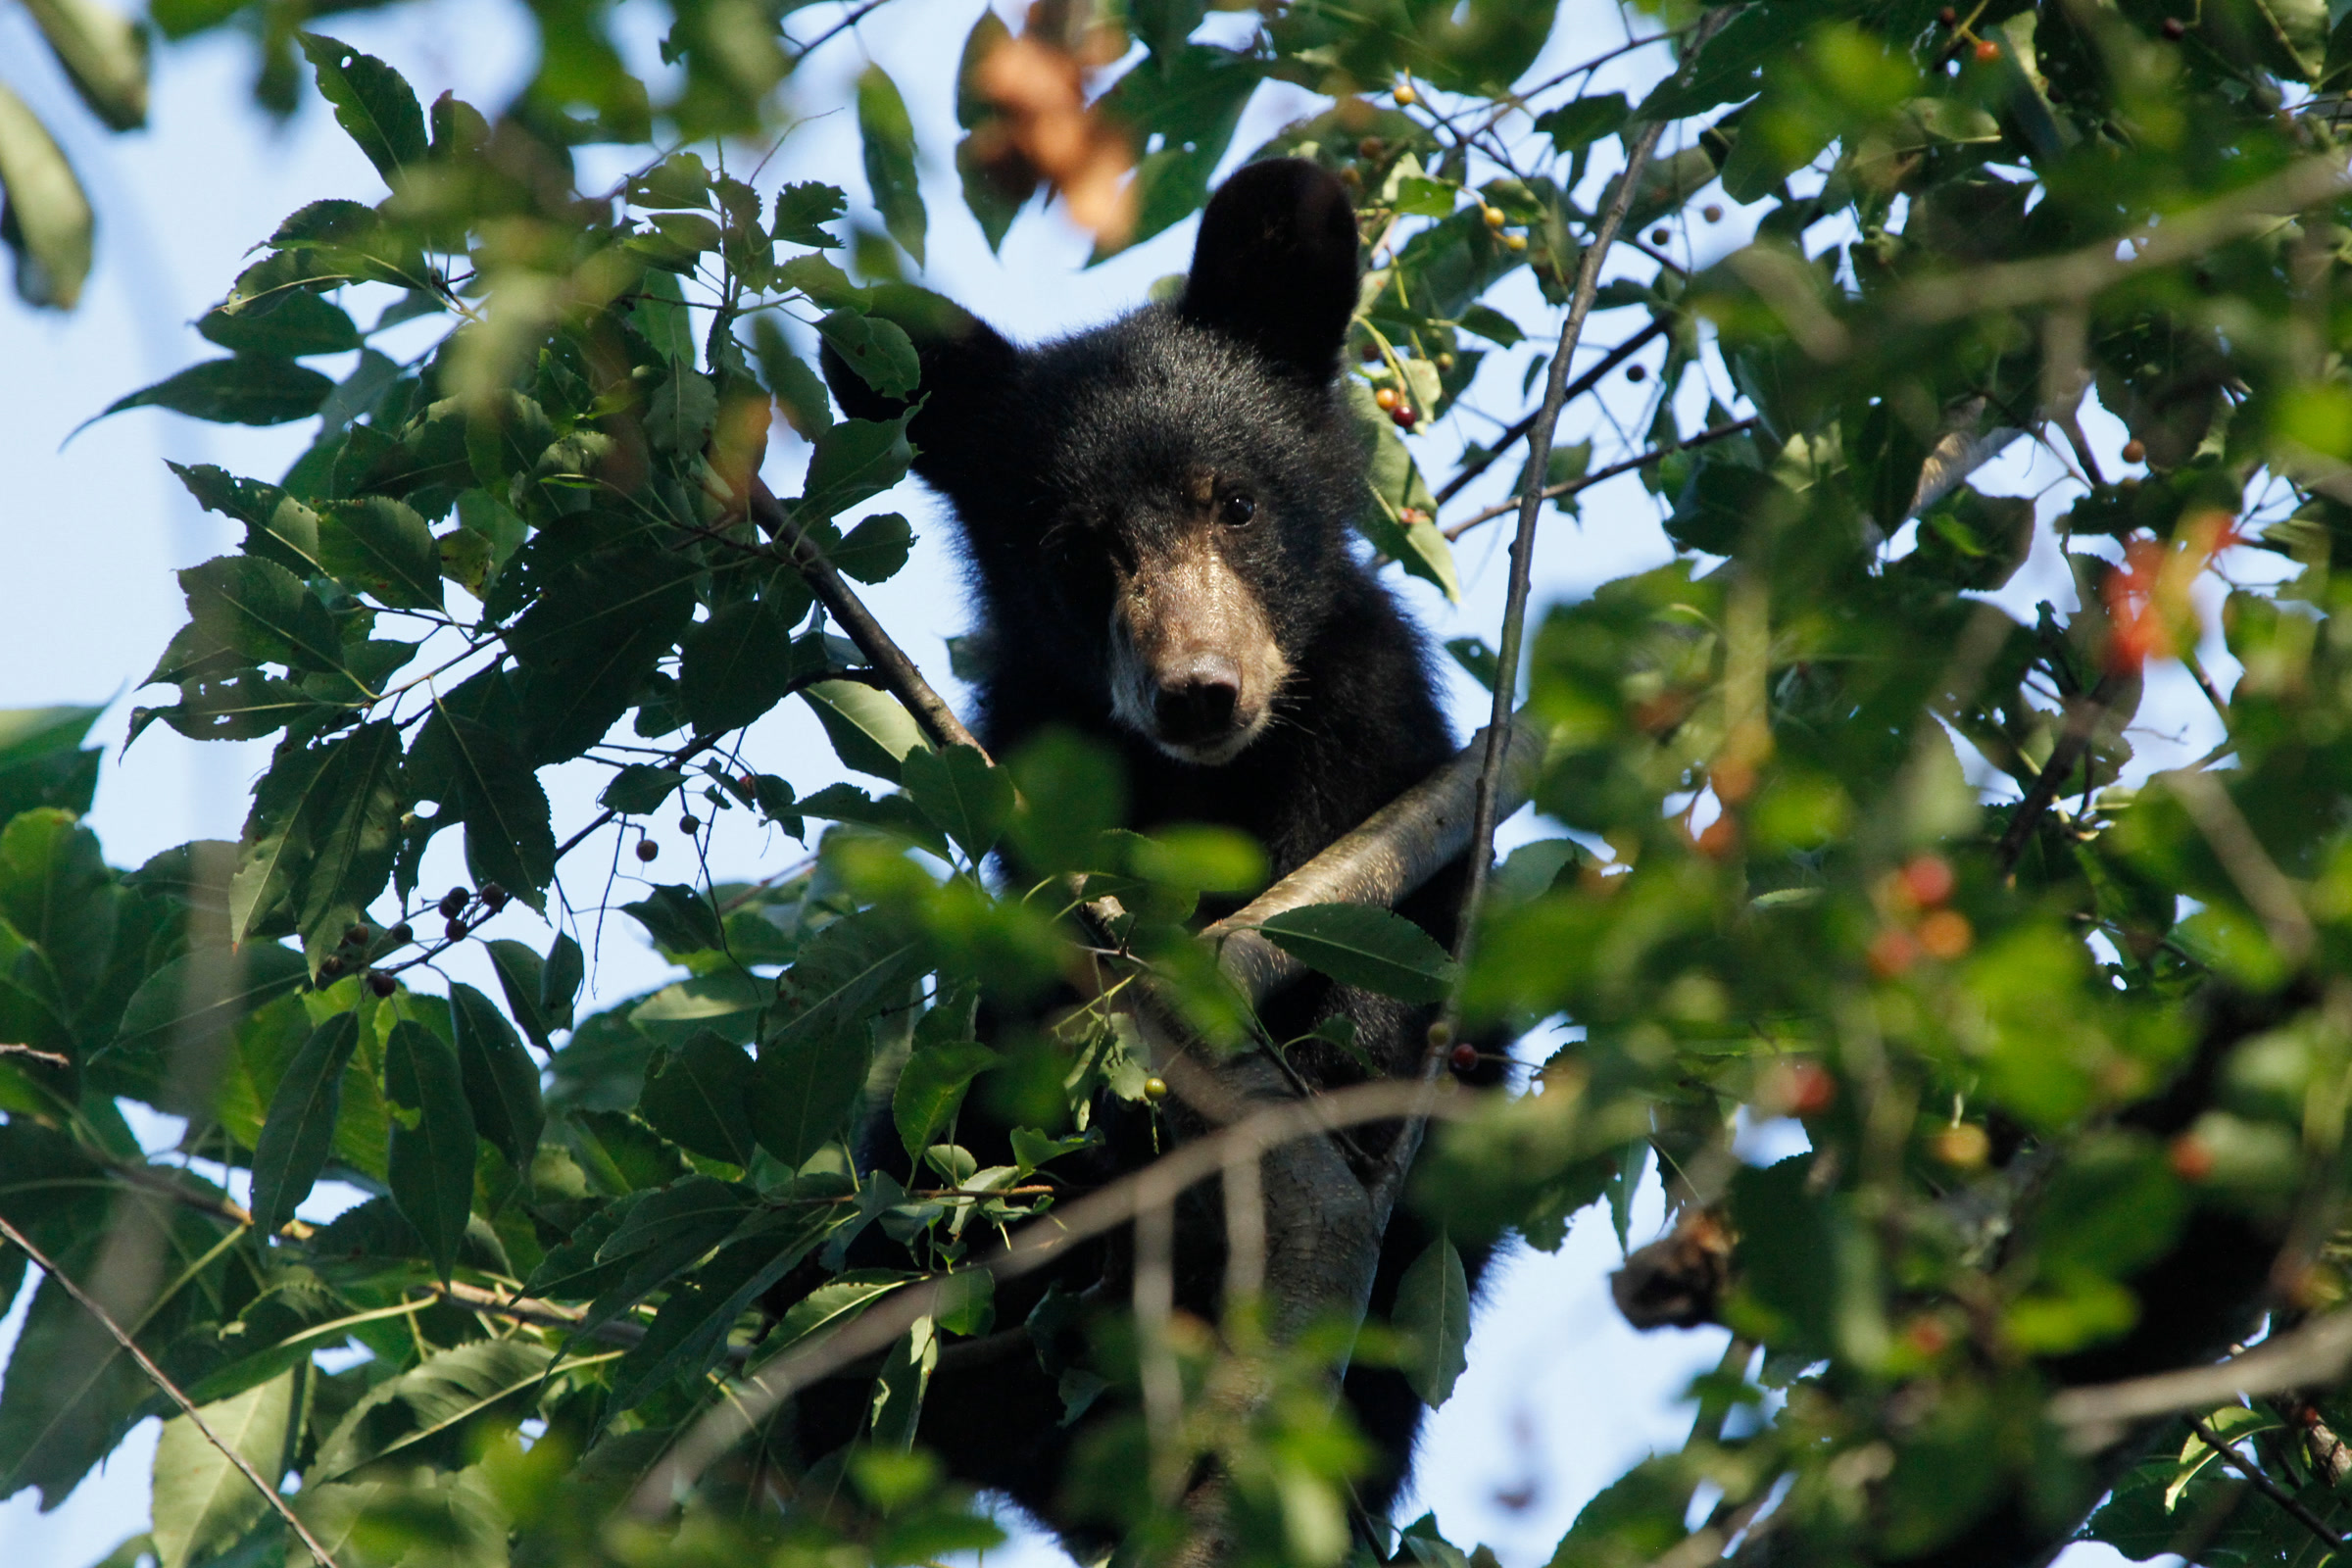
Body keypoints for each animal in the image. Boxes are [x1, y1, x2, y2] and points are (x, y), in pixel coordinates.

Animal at [798, 158, 1493, 1553]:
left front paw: (1338, 1065)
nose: (1199, 691)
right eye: (1078, 551)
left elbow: (1389, 945)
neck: (1201, 792)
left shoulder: (1374, 741)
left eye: (1237, 501)